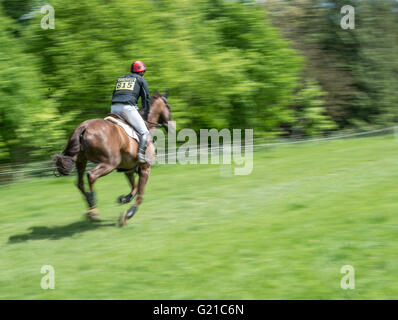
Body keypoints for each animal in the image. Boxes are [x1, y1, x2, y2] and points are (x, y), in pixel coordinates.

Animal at [52, 91, 173, 226]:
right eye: (168, 107)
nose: (171, 127)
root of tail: (84, 126)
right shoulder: (145, 169)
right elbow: (140, 194)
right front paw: (128, 214)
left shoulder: (129, 169)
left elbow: (134, 187)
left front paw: (124, 198)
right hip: (110, 163)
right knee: (91, 176)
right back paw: (93, 208)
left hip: (81, 161)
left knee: (80, 183)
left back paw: (90, 205)